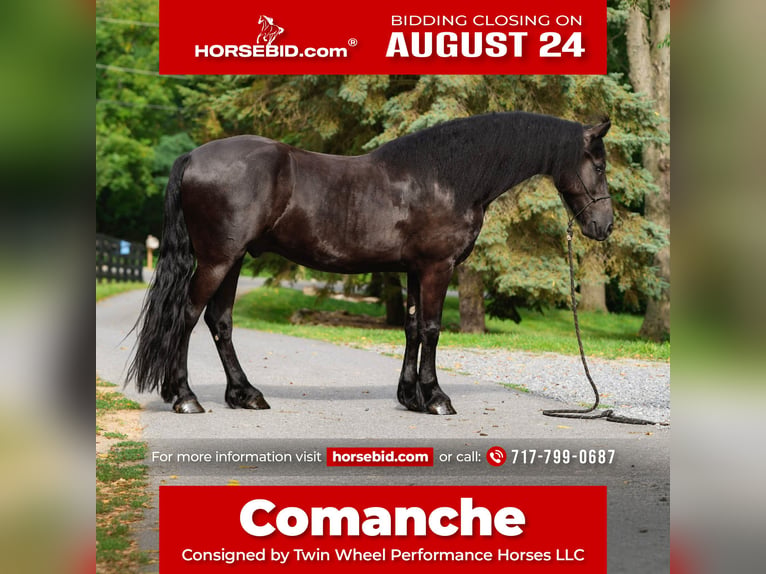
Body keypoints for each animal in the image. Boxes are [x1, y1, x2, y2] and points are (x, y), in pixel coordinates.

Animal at [127, 112, 612, 415]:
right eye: (601, 166)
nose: (604, 225)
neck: (445, 177)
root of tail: (195, 157)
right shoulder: (437, 267)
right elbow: (432, 329)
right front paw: (437, 398)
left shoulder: (415, 269)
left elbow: (412, 328)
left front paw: (411, 397)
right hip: (217, 260)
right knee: (187, 317)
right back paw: (185, 396)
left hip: (233, 260)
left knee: (219, 321)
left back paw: (245, 394)